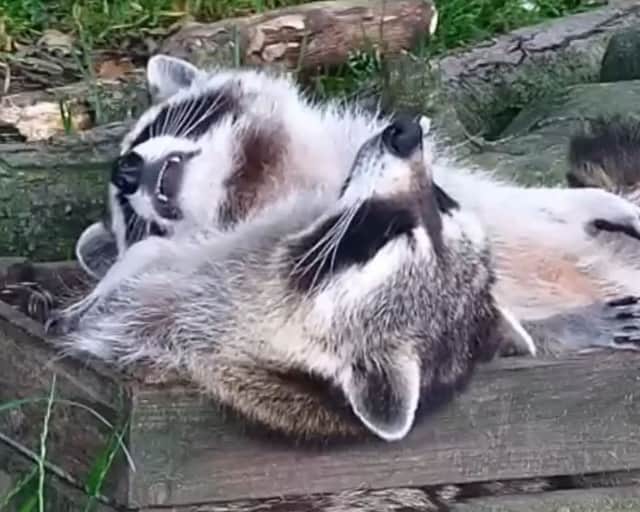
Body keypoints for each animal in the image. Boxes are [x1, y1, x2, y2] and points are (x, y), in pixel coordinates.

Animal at [73, 55, 640, 357]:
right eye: (130, 220)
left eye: (147, 132)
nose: (123, 171)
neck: (260, 183)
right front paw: (550, 329)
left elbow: (521, 203)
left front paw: (598, 202)